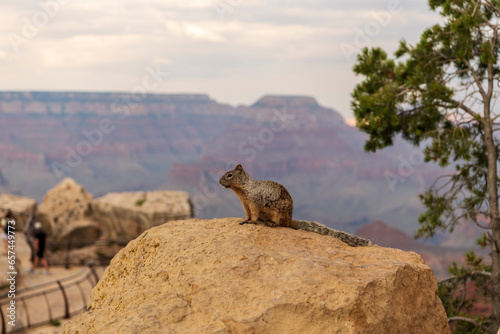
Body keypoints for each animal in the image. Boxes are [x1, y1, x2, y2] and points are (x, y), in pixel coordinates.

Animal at [220, 165, 372, 248]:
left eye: (229, 175)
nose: (219, 181)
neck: (243, 189)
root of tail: (290, 219)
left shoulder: (253, 202)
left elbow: (255, 214)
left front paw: (252, 221)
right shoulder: (245, 204)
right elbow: (247, 213)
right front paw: (245, 220)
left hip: (279, 213)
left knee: (280, 223)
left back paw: (272, 223)